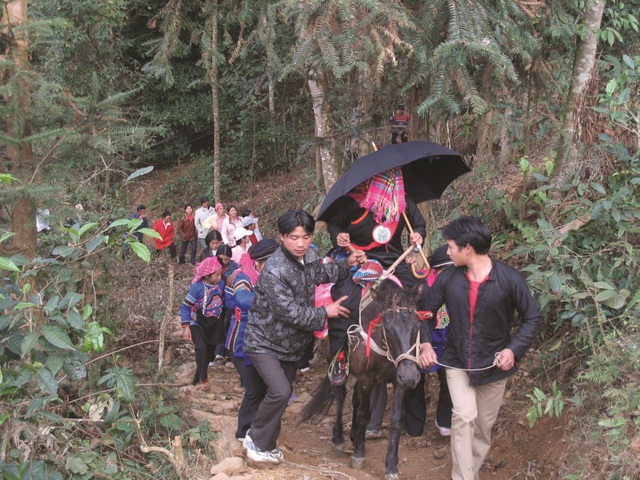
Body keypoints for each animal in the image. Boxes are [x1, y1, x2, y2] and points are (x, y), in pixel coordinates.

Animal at [302, 280, 422, 478]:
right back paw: (339, 439)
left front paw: (391, 466)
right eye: (387, 327)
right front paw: (358, 454)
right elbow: (365, 414)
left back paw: (354, 435)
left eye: (417, 326)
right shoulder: (367, 380)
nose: (411, 377)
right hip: (334, 361)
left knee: (355, 401)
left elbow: (396, 420)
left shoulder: (398, 382)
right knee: (341, 395)